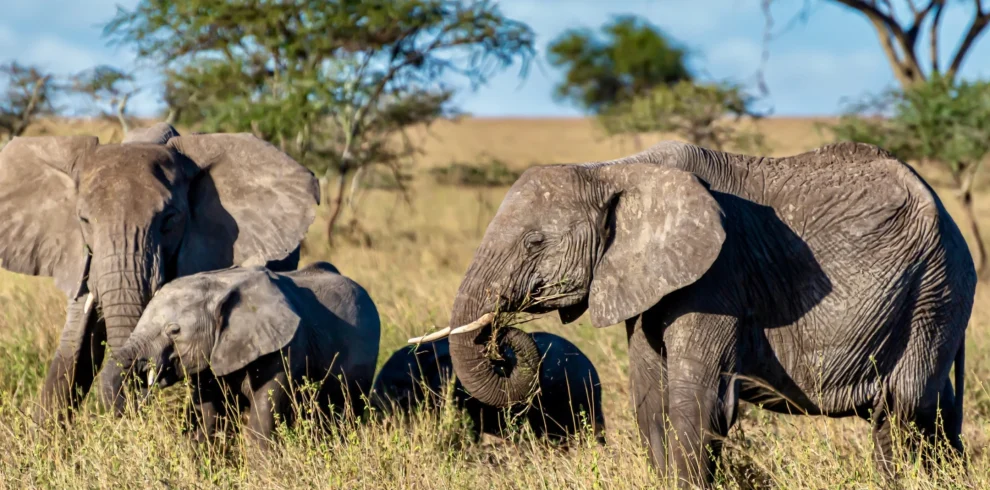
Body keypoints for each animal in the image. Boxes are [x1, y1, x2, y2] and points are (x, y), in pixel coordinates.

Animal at [116, 261, 381, 446]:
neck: (221, 283)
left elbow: (260, 424)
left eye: (174, 331)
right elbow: (208, 422)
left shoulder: (284, 349)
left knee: (343, 416)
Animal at [407, 141, 976, 486]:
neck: (615, 169)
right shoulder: (646, 279)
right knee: (932, 411)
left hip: (933, 290)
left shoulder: (718, 276)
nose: (504, 339)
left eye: (533, 242)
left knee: (901, 409)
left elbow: (694, 401)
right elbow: (649, 398)